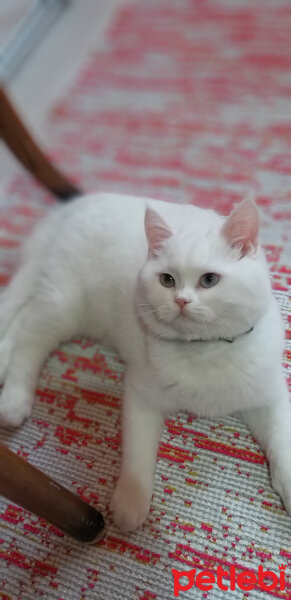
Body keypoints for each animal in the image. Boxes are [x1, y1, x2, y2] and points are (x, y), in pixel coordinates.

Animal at [0, 193, 291, 528]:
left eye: (209, 280)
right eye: (167, 280)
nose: (181, 300)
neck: (205, 349)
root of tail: (74, 205)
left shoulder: (270, 396)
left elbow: (282, 443)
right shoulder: (141, 395)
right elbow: (138, 454)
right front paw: (131, 503)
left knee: (21, 319)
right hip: (63, 305)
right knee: (29, 339)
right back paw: (14, 401)